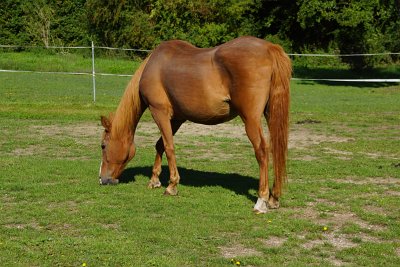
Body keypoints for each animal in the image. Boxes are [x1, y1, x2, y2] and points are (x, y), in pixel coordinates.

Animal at [98, 36, 290, 215]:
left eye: (103, 146)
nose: (102, 179)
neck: (153, 65)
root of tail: (269, 48)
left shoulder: (159, 112)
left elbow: (168, 147)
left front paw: (172, 186)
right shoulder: (176, 119)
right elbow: (160, 145)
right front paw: (154, 180)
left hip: (250, 119)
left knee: (262, 151)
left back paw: (261, 200)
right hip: (270, 115)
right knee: (276, 150)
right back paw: (274, 198)